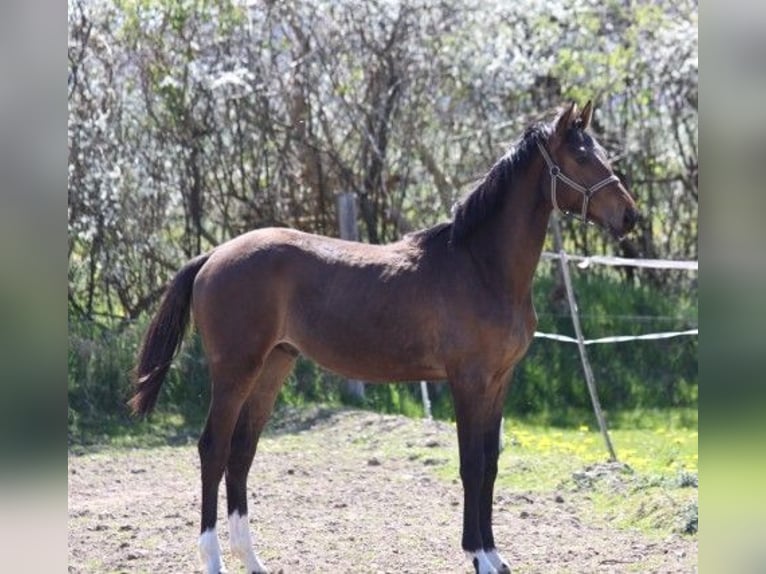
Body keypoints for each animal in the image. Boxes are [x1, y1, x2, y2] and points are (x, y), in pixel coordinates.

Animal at [129, 101, 638, 574]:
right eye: (581, 158)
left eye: (599, 152)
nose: (630, 217)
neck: (480, 267)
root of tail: (214, 254)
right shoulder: (468, 382)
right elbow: (471, 465)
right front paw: (478, 555)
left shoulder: (500, 381)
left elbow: (491, 464)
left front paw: (496, 555)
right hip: (236, 369)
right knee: (213, 450)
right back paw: (214, 558)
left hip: (273, 366)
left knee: (241, 453)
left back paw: (252, 560)